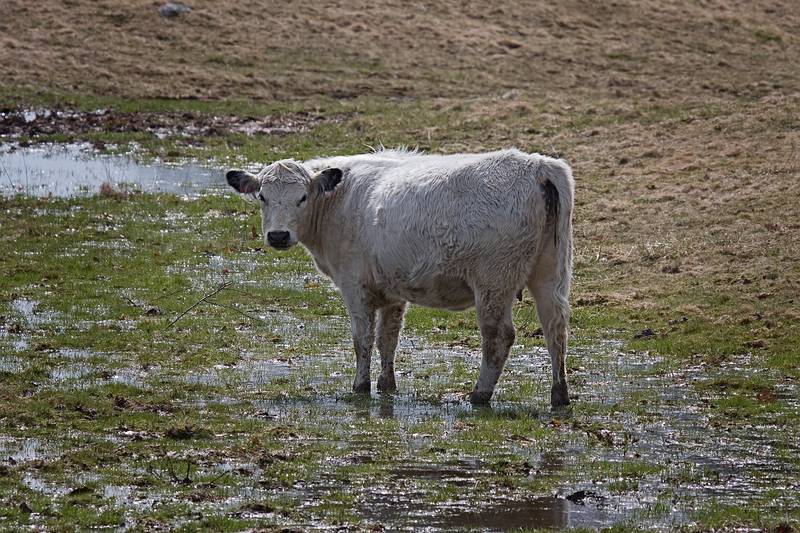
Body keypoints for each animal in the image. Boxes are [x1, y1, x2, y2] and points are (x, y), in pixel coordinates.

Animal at [227, 150, 576, 408]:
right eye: (262, 197)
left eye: (302, 197)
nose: (278, 235)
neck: (341, 201)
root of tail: (537, 165)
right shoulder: (391, 289)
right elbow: (388, 338)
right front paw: (387, 384)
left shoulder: (354, 285)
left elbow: (362, 338)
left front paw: (361, 385)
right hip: (550, 275)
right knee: (556, 328)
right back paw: (559, 395)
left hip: (494, 282)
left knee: (498, 336)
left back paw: (479, 395)